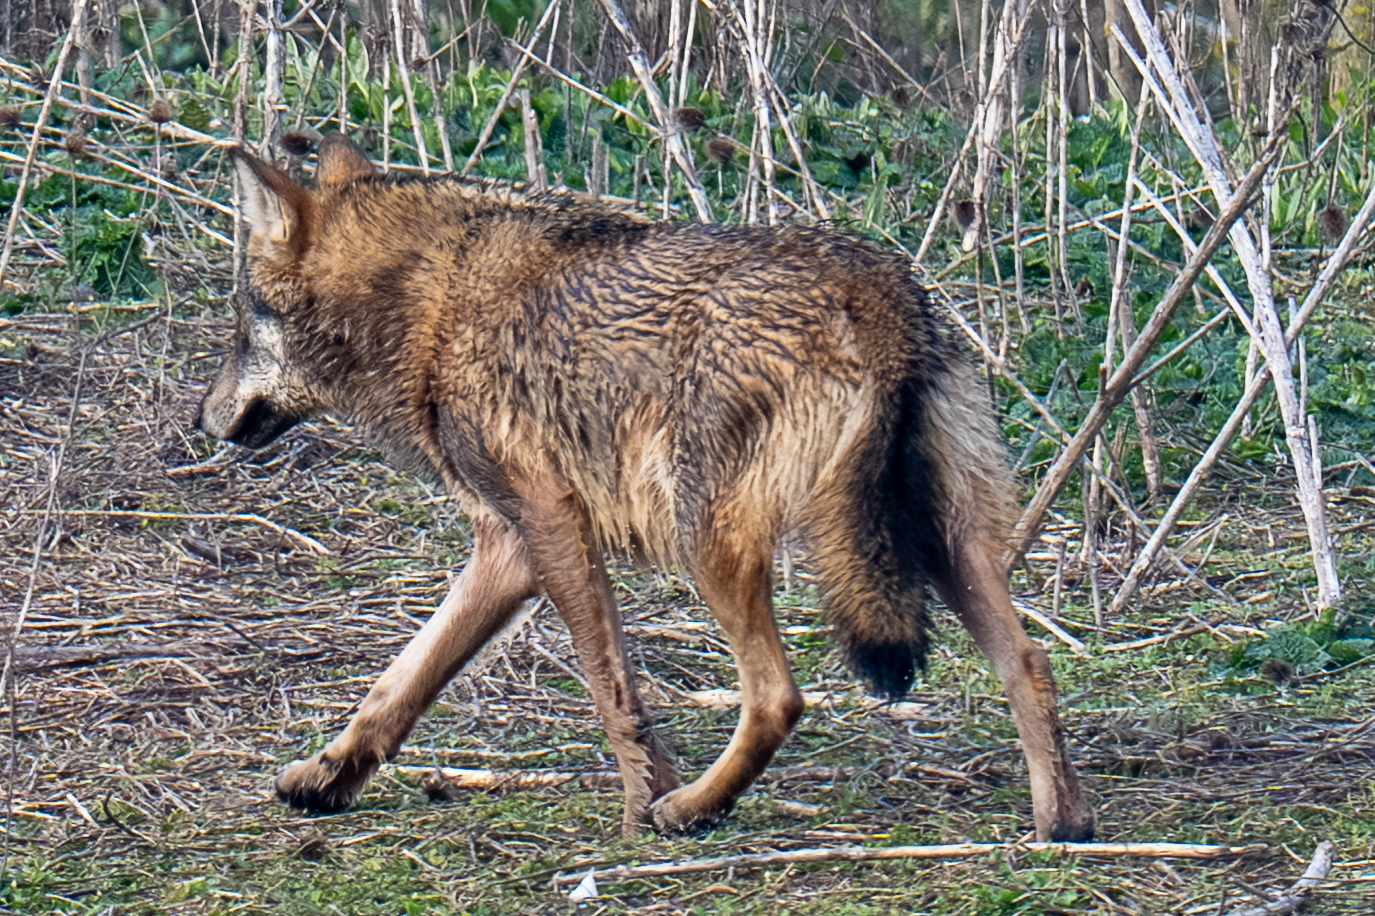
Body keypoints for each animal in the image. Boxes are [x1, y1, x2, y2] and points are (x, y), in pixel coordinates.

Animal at [193, 132, 1093, 842]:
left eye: (240, 325)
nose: (201, 418)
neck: (427, 298)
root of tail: (876, 283)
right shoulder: (505, 546)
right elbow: (399, 682)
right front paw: (325, 777)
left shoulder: (551, 522)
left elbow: (609, 685)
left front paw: (640, 802)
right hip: (945, 547)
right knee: (1029, 662)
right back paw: (1061, 826)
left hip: (714, 547)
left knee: (777, 697)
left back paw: (689, 810)